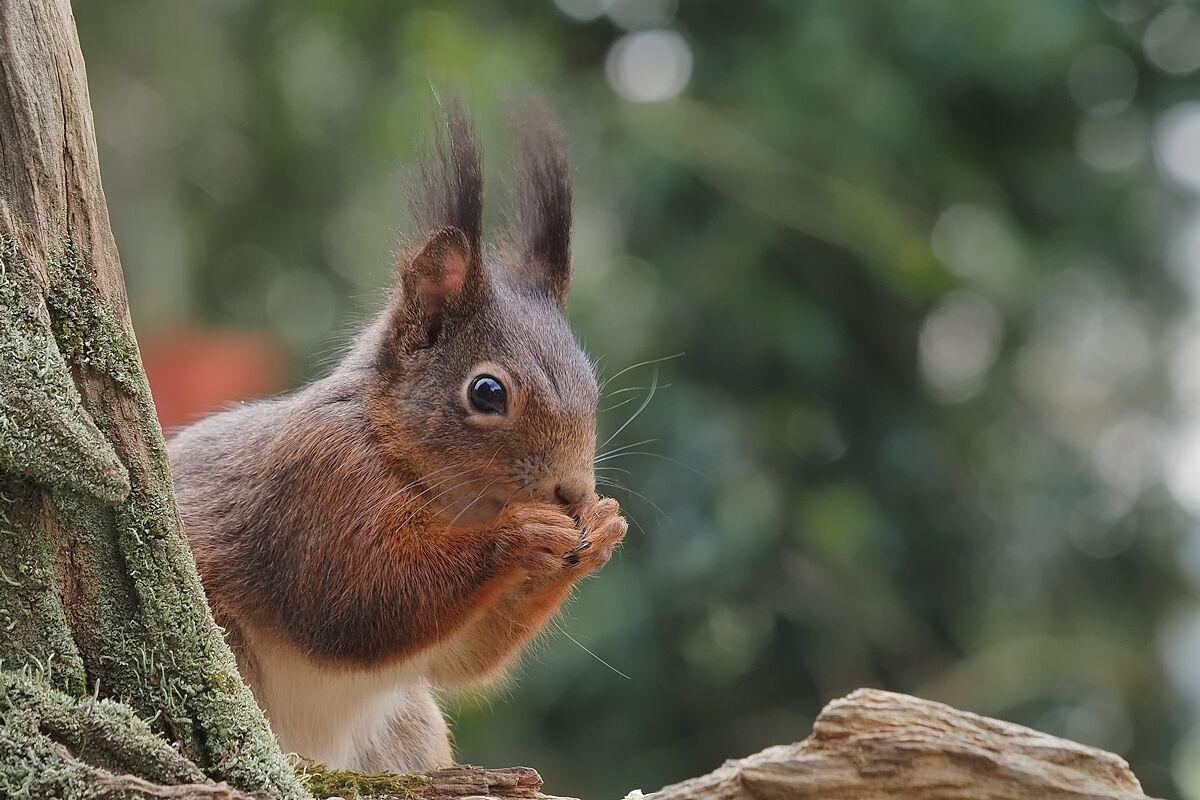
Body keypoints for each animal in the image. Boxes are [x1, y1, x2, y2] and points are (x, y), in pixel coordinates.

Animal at [167, 102, 628, 772]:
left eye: (591, 383)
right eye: (487, 392)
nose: (572, 492)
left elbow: (464, 657)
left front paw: (603, 527)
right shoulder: (319, 479)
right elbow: (356, 602)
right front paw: (522, 534)